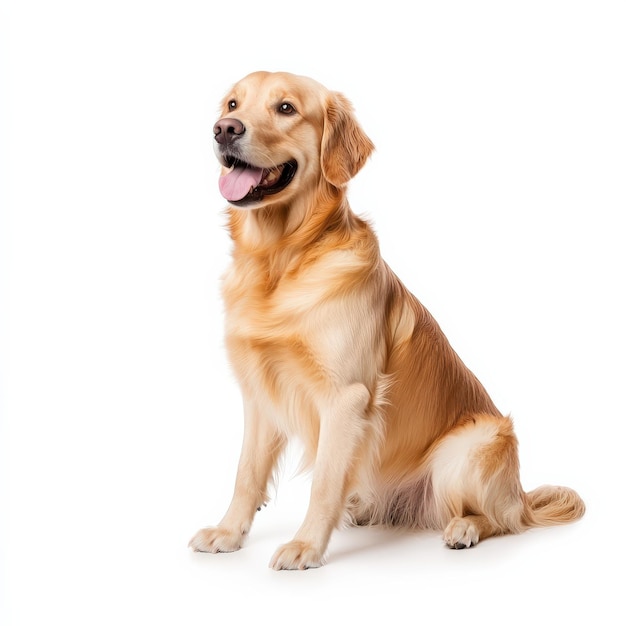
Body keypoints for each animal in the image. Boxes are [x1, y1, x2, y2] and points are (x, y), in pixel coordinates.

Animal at [188, 70, 584, 568]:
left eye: (286, 108)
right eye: (232, 104)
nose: (225, 130)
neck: (282, 259)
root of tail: (522, 494)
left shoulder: (346, 397)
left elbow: (323, 484)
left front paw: (306, 546)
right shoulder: (260, 394)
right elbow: (246, 473)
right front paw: (228, 532)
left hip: (465, 448)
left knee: (501, 519)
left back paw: (464, 528)